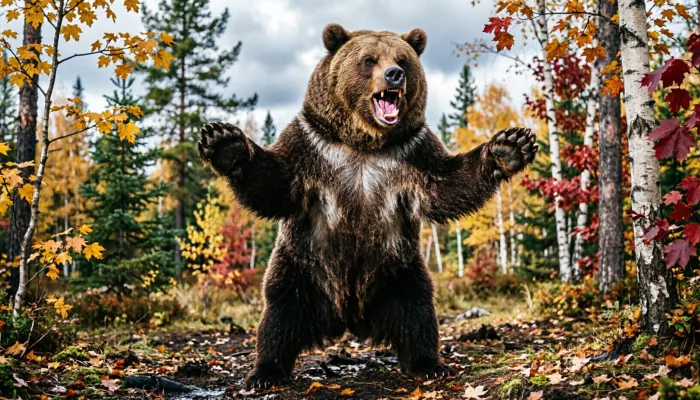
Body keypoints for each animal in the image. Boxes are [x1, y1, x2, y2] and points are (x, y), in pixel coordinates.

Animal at [198, 24, 537, 389]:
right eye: (369, 60)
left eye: (402, 59)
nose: (395, 74)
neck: (365, 143)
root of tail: (348, 316)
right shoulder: (312, 145)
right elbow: (275, 183)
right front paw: (225, 142)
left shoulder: (412, 151)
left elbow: (446, 187)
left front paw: (509, 146)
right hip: (301, 267)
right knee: (280, 314)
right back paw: (266, 371)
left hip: (399, 271)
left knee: (417, 313)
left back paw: (429, 363)